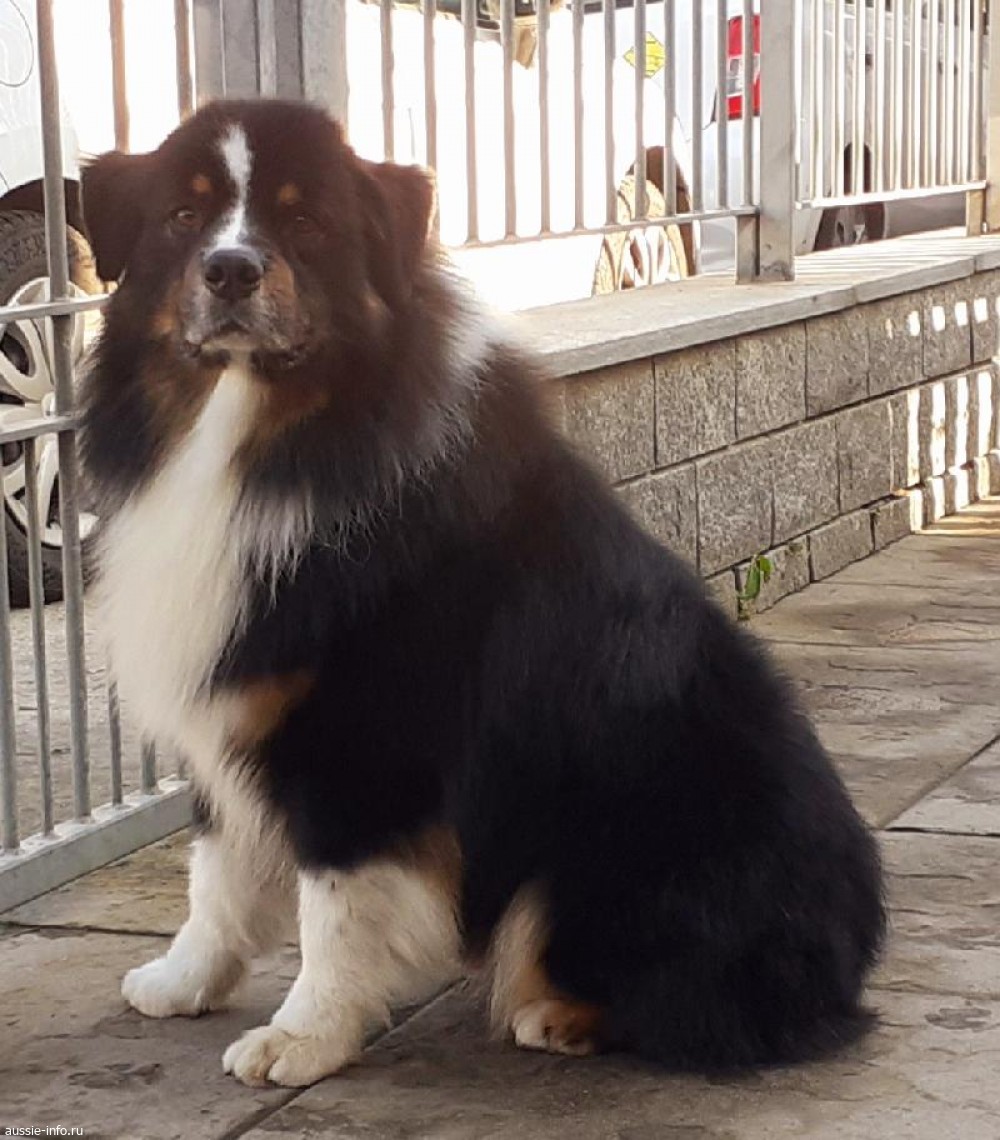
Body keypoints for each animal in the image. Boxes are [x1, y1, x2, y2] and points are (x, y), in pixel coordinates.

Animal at [79, 98, 885, 1089]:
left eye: (306, 222)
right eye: (182, 216)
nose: (231, 269)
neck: (262, 437)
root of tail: (849, 959)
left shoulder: (359, 738)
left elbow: (333, 905)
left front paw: (303, 1037)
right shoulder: (240, 702)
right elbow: (217, 870)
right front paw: (184, 978)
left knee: (696, 1004)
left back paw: (558, 1015)